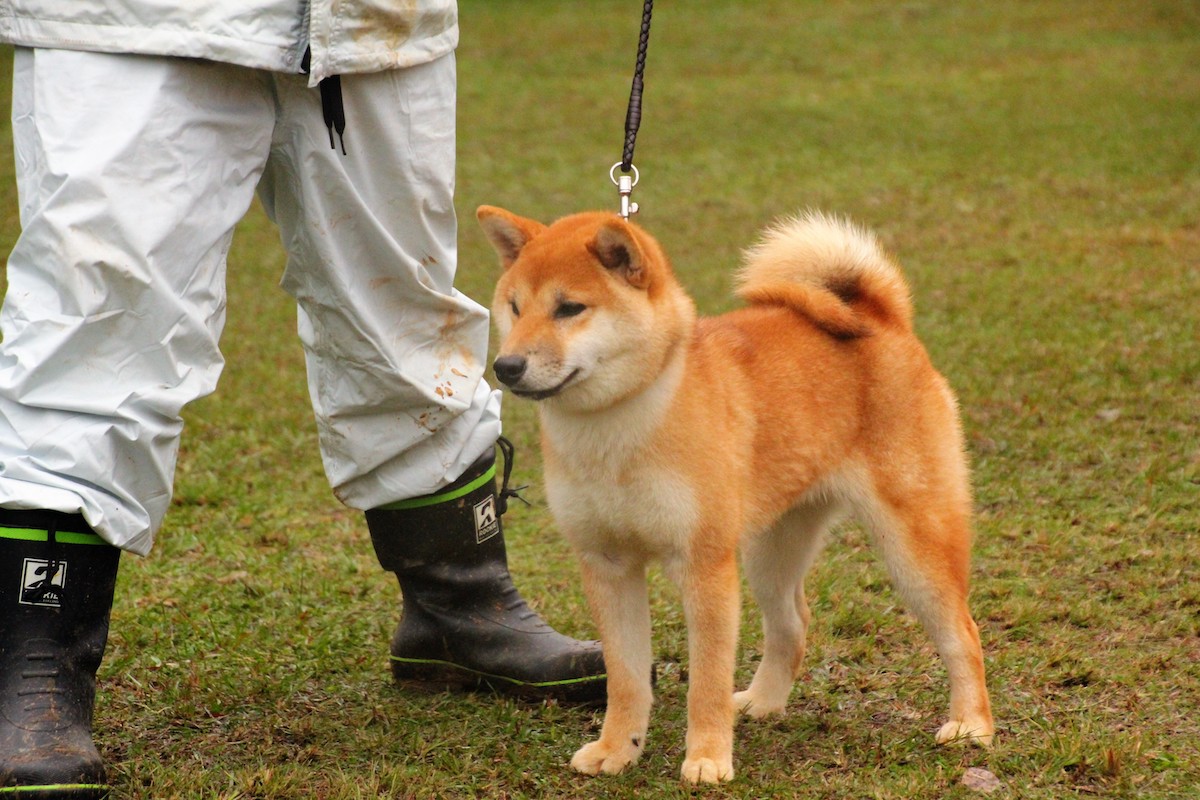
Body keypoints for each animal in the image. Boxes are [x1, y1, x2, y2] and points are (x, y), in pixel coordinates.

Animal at [477, 203, 993, 786]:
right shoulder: (607, 564)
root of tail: (881, 319)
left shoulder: (705, 565)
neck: (619, 429)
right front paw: (618, 749)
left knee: (962, 632)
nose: (507, 367)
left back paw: (971, 725)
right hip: (771, 552)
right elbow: (625, 676)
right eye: (514, 307)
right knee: (792, 625)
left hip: (913, 546)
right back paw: (764, 702)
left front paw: (706, 758)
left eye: (570, 308)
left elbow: (706, 680)